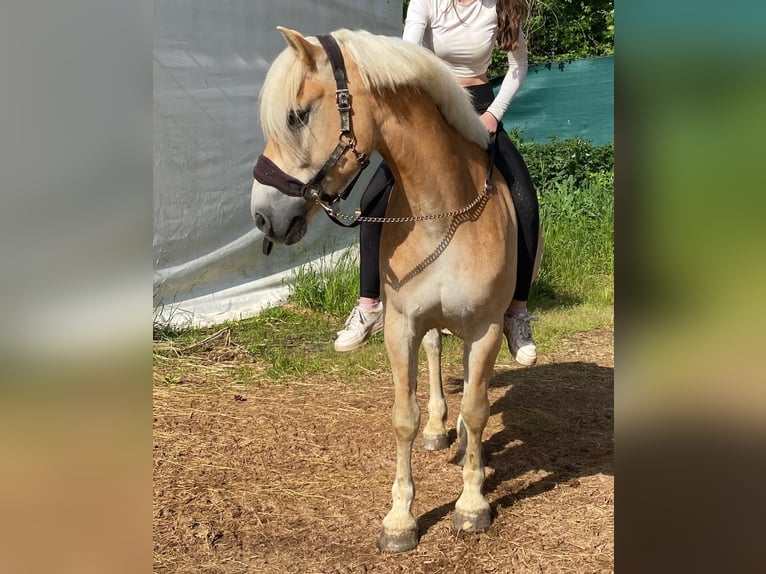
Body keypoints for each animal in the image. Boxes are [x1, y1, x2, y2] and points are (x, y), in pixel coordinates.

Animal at [252, 28, 540, 560]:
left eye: (297, 115)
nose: (263, 216)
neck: (441, 214)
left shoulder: (485, 327)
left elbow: (478, 408)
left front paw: (472, 504)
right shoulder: (402, 326)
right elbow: (404, 417)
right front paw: (401, 518)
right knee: (436, 353)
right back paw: (438, 430)